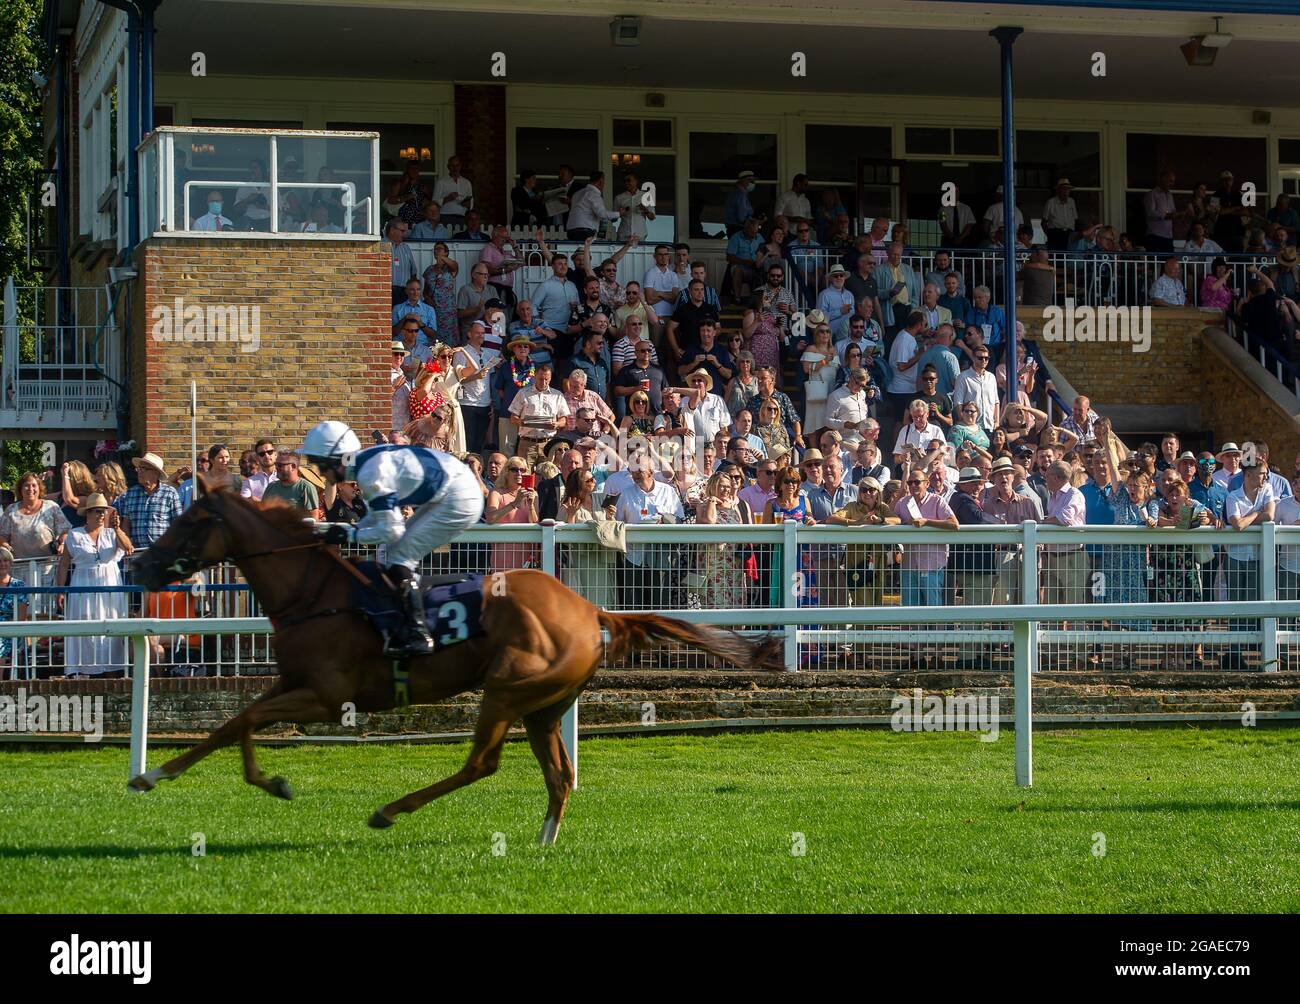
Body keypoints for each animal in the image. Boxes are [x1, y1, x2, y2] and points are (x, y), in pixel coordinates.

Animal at [129, 475, 780, 837]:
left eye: (190, 520)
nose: (139, 565)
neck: (314, 593)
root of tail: (590, 611)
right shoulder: (289, 682)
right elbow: (233, 721)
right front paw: (153, 774)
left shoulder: (326, 696)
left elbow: (247, 722)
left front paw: (270, 782)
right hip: (543, 706)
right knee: (559, 776)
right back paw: (543, 841)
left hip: (507, 689)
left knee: (483, 765)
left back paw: (391, 810)